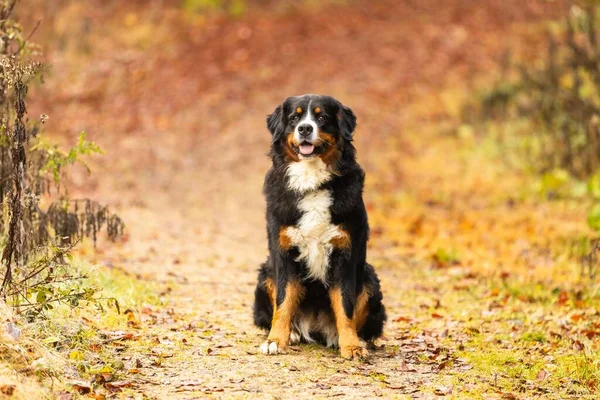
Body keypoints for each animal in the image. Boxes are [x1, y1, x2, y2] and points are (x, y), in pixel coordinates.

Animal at [252, 94, 384, 360]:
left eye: (321, 117)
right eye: (294, 118)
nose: (305, 128)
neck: (311, 181)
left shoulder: (344, 255)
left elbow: (345, 306)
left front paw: (351, 345)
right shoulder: (283, 254)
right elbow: (283, 301)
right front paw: (275, 340)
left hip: (369, 278)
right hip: (265, 273)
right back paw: (293, 333)